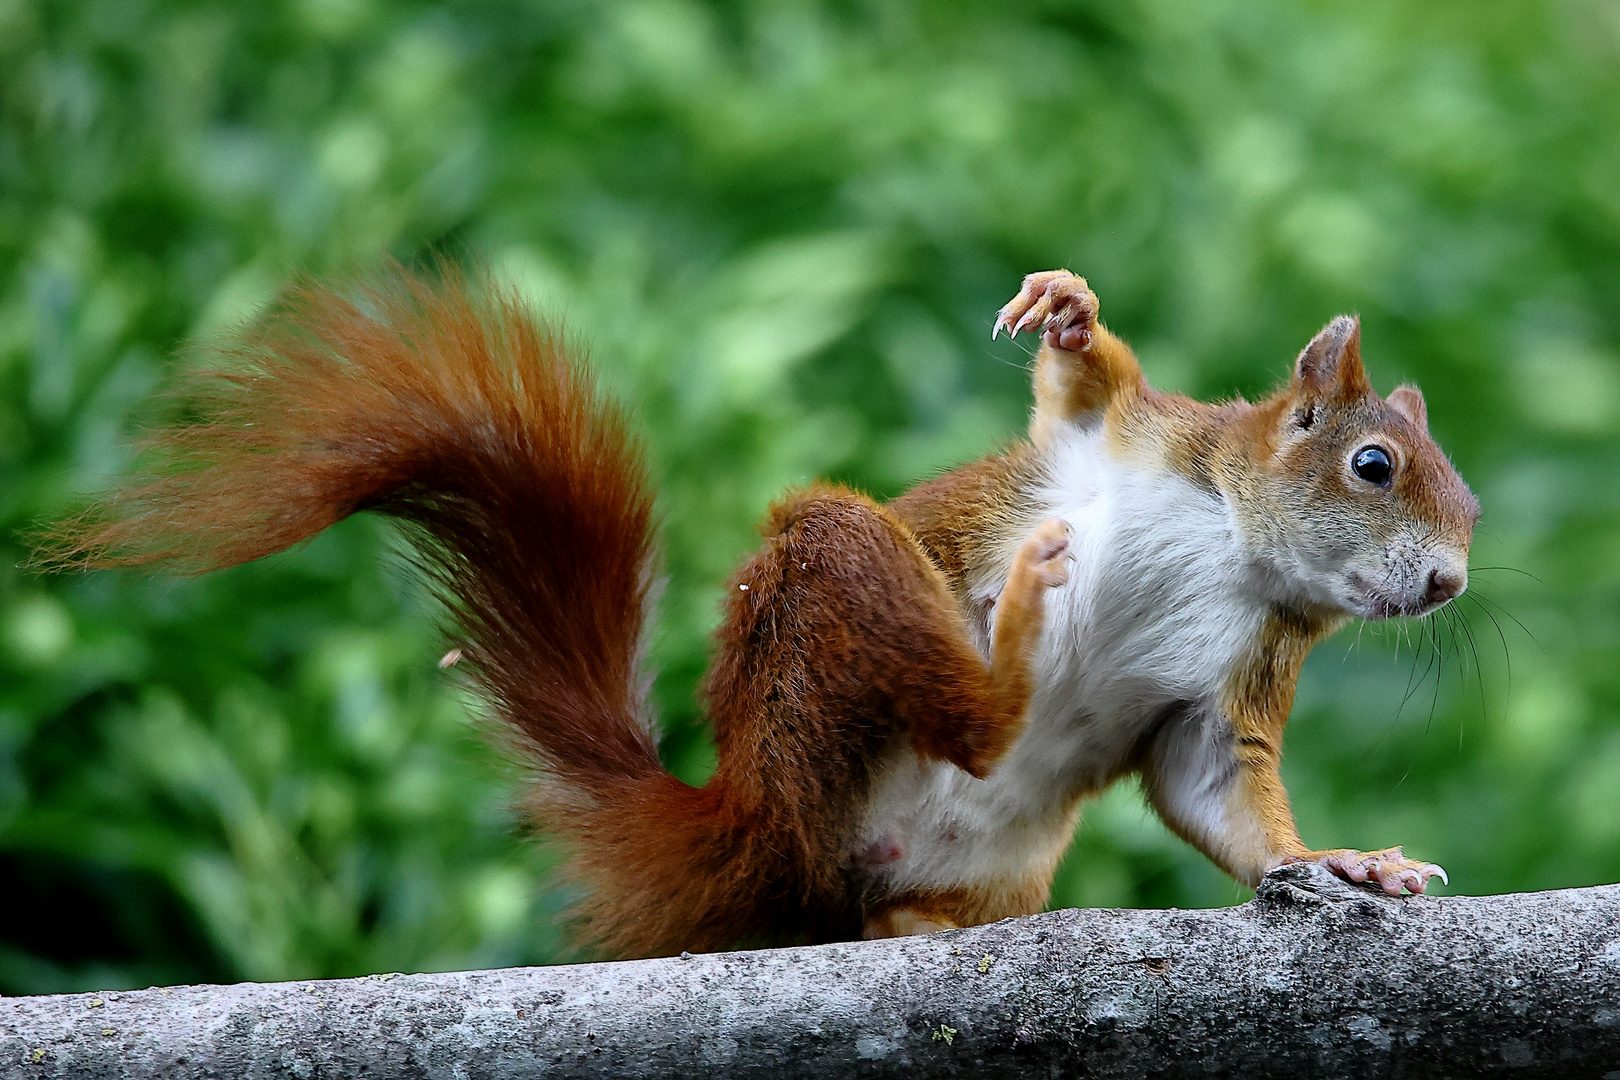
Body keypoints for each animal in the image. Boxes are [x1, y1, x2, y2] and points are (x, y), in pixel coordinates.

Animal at [50, 265, 1477, 958]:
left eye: (1457, 494)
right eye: (1375, 465)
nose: (1453, 581)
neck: (1233, 547)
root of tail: (753, 815)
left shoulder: (1235, 683)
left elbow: (1221, 795)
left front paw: (1345, 863)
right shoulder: (1130, 441)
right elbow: (1085, 387)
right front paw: (1069, 308)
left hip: (985, 862)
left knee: (877, 899)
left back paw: (913, 911)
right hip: (826, 593)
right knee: (954, 703)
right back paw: (1013, 636)